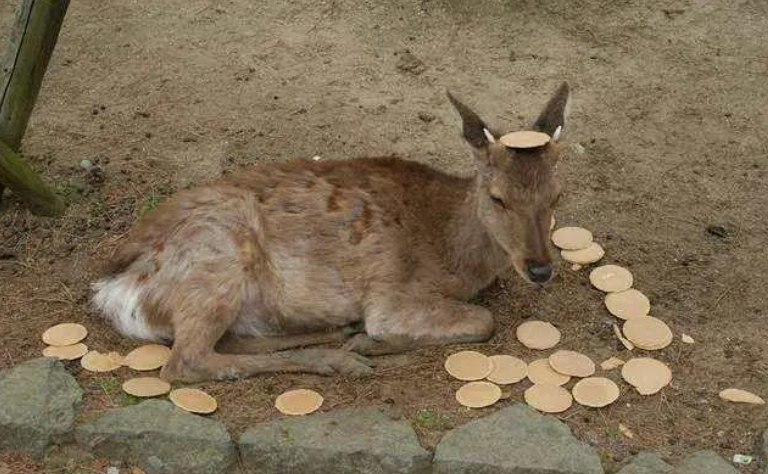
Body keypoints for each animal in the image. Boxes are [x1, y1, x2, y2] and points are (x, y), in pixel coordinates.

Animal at [91, 83, 568, 384]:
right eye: (498, 197)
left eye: (557, 195)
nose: (540, 268)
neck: (454, 256)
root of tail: (112, 287)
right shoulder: (392, 295)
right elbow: (483, 321)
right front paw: (372, 342)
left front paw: (361, 340)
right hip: (214, 260)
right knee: (185, 362)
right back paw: (341, 359)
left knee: (231, 341)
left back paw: (337, 336)